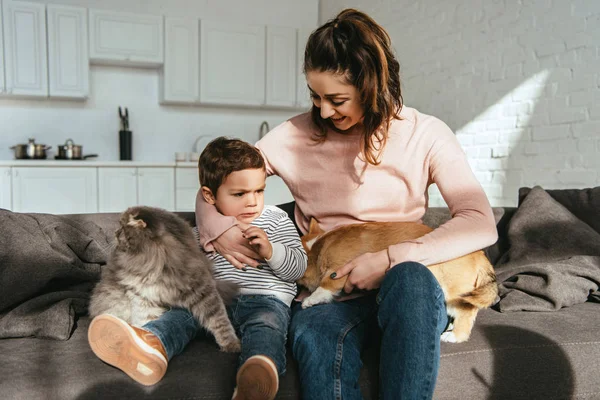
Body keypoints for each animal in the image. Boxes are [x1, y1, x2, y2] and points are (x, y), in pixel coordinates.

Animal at [89, 206, 239, 354]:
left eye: (122, 228)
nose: (115, 232)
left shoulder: (201, 289)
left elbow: (219, 321)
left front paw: (231, 345)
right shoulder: (142, 297)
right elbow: (145, 320)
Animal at [298, 219, 500, 344]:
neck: (318, 248)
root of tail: (480, 255)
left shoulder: (339, 271)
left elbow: (325, 286)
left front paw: (310, 299)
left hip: (452, 294)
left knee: (466, 313)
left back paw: (455, 336)